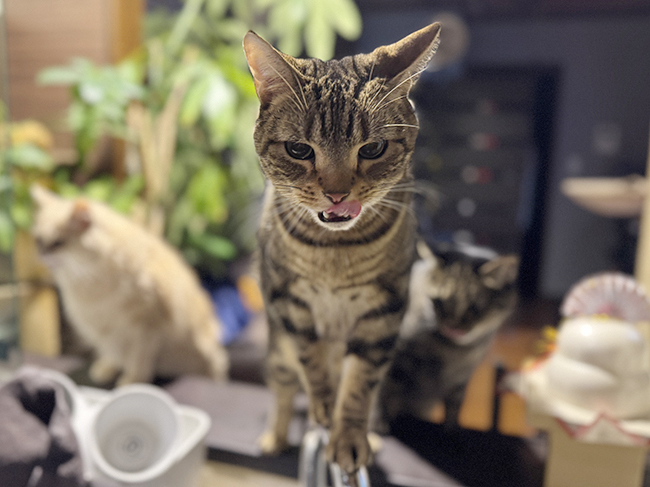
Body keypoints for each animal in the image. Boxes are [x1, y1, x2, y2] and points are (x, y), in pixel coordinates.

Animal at [30, 185, 229, 386]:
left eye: (58, 243)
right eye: (38, 240)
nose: (42, 254)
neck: (91, 280)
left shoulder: (147, 328)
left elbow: (138, 360)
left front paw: (132, 381)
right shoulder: (108, 332)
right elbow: (113, 354)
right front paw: (107, 369)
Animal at [243, 23, 441, 479]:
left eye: (372, 149)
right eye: (299, 150)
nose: (337, 195)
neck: (335, 252)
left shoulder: (382, 312)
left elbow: (358, 386)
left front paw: (348, 437)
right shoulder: (291, 303)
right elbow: (314, 366)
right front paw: (323, 406)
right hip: (277, 351)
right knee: (283, 390)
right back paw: (276, 435)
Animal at [378, 240, 519, 429]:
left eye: (474, 308)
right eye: (438, 301)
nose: (452, 325)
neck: (451, 352)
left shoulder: (460, 383)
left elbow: (453, 414)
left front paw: (451, 430)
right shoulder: (392, 367)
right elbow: (382, 404)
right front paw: (380, 429)